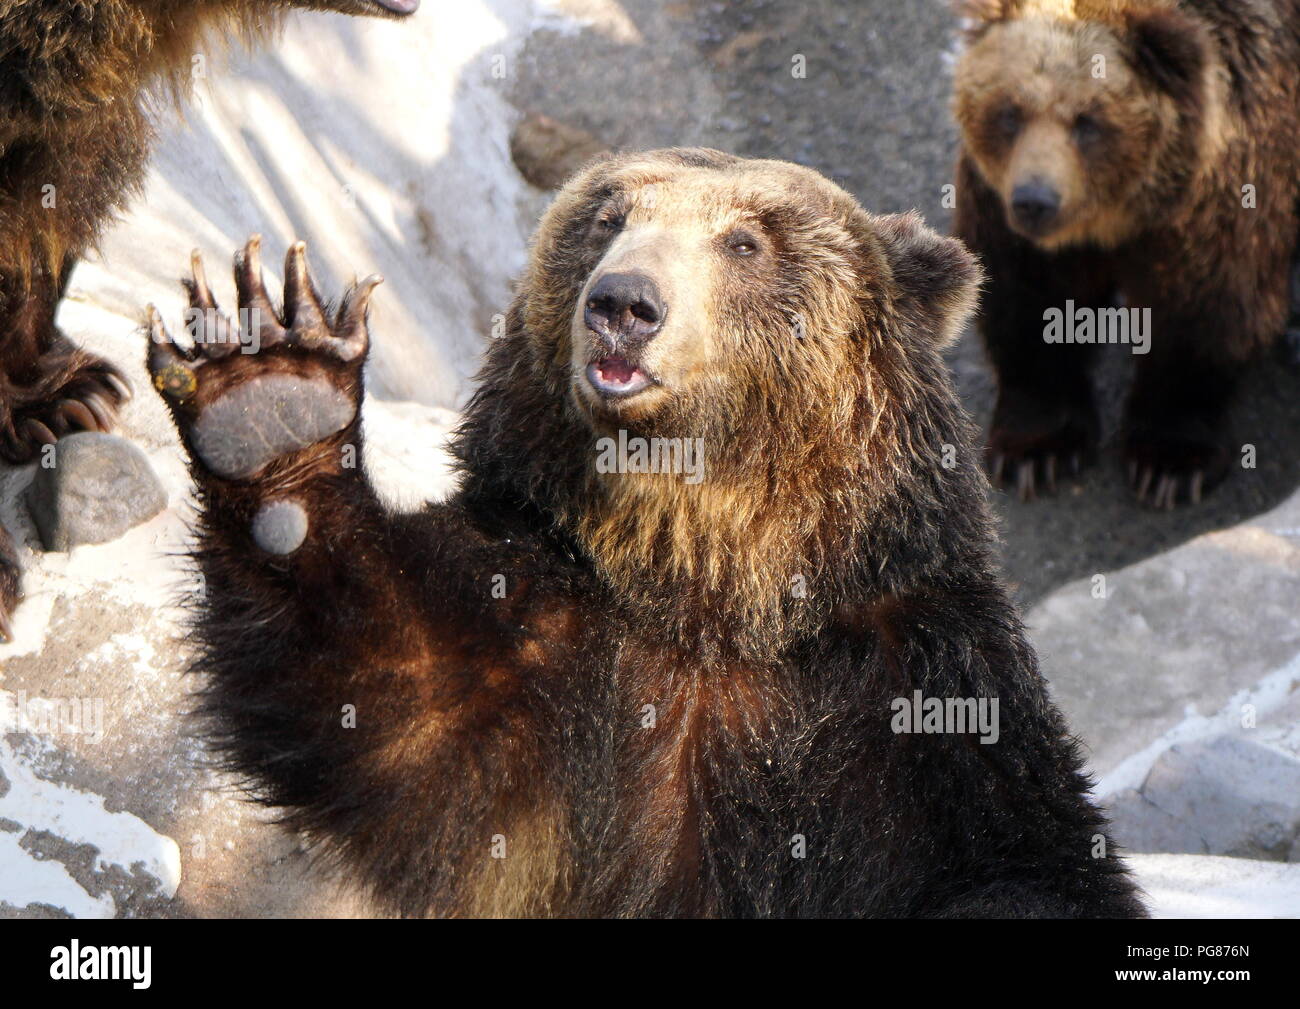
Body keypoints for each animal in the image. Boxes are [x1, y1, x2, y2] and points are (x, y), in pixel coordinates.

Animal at [144, 149, 1145, 918]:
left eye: (745, 240)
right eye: (608, 217)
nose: (623, 302)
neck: (713, 589)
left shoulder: (919, 693)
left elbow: (1020, 861)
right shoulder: (543, 645)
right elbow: (386, 694)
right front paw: (270, 392)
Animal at [950, 0, 1300, 507]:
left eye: (1087, 121)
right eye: (1010, 112)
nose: (1034, 200)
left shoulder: (1222, 198)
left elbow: (1203, 308)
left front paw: (1170, 462)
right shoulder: (1003, 211)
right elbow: (1027, 299)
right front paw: (1037, 450)